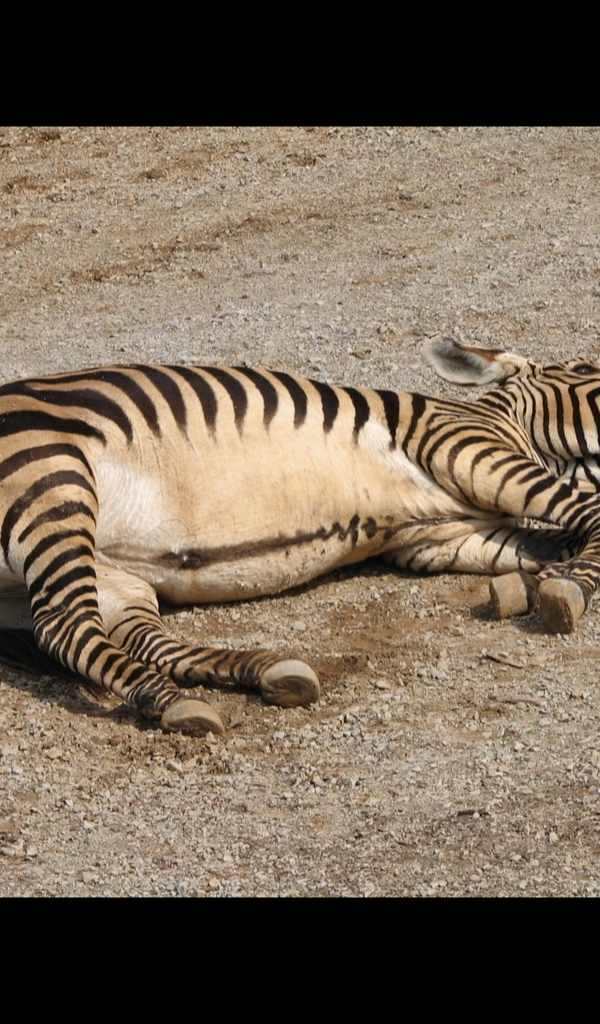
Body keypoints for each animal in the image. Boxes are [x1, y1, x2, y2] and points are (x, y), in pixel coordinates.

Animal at [1, 337, 599, 734]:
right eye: (587, 367)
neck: (510, 424)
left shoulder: (439, 541)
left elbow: (554, 540)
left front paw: (542, 579)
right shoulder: (466, 447)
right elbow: (590, 512)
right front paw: (567, 589)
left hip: (110, 573)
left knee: (138, 637)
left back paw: (250, 676)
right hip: (53, 483)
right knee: (65, 626)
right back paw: (179, 699)